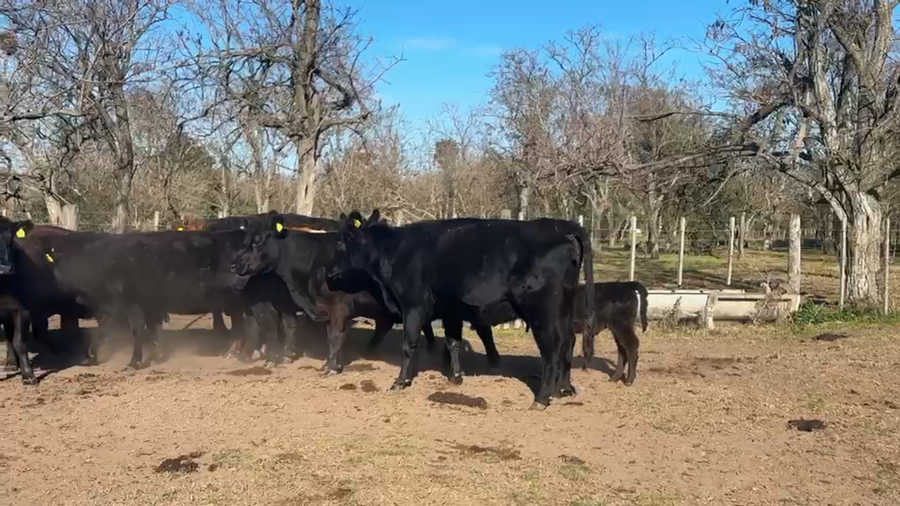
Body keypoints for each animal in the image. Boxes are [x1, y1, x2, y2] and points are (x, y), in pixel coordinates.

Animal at [329, 210, 595, 409]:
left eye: (341, 243)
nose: (329, 272)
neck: (396, 252)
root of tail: (560, 227)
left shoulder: (413, 306)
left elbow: (409, 344)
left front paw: (401, 381)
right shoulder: (451, 310)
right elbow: (453, 342)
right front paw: (456, 377)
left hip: (543, 310)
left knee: (552, 349)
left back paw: (541, 399)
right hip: (564, 308)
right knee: (568, 341)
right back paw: (564, 388)